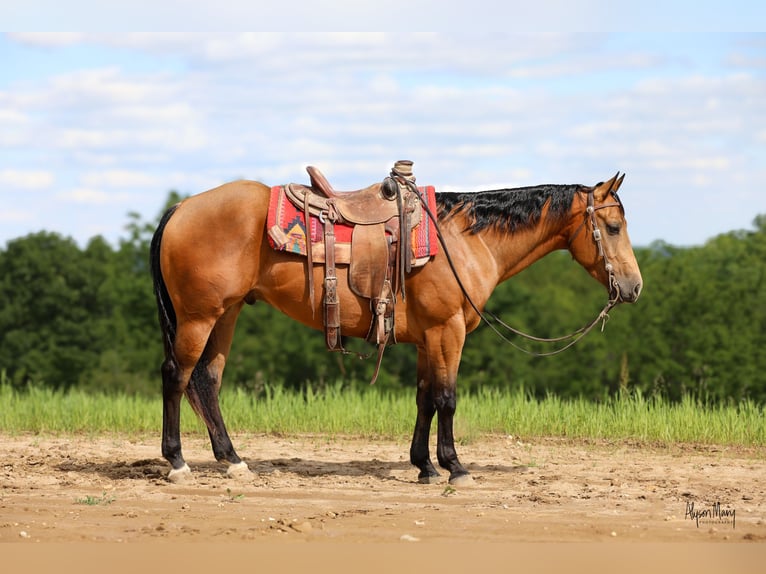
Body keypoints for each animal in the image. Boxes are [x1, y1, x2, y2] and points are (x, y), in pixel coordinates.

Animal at [148, 166, 640, 486]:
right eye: (614, 226)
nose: (634, 287)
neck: (463, 240)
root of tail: (181, 207)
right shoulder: (447, 331)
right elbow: (446, 398)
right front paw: (455, 467)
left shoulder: (428, 339)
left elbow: (424, 399)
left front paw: (424, 466)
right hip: (199, 317)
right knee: (177, 376)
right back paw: (177, 463)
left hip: (226, 314)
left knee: (207, 381)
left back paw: (232, 460)